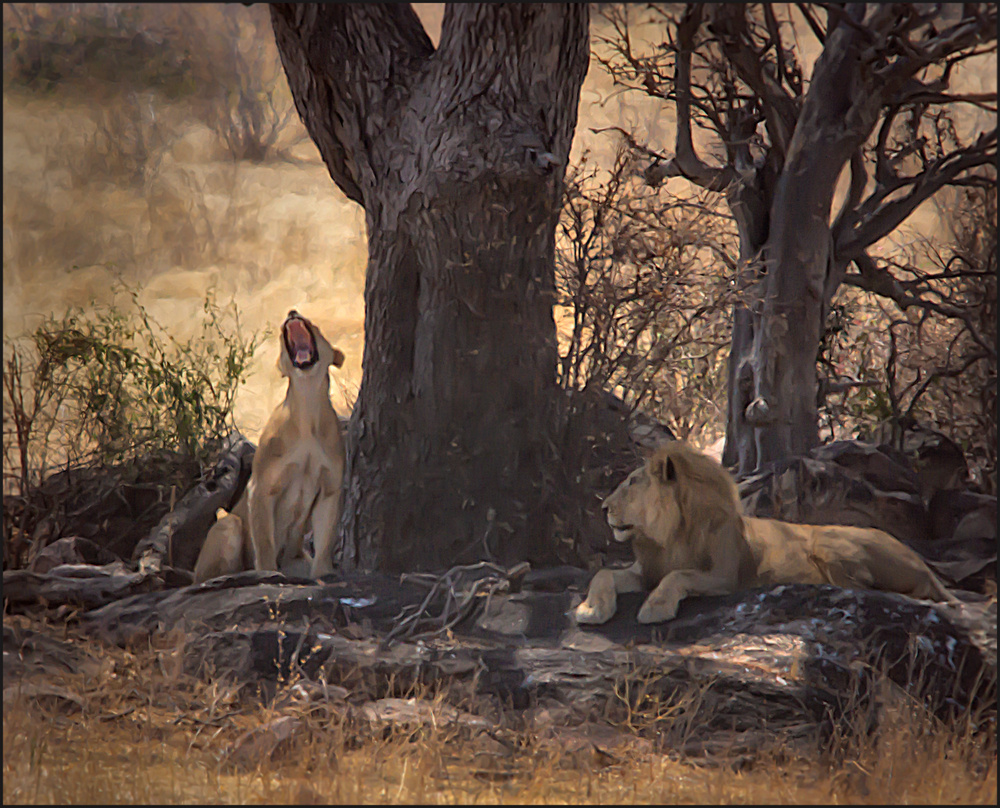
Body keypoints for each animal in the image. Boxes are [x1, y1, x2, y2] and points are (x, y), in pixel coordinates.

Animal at [194, 312, 348, 584]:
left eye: (315, 325)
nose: (292, 313)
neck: (308, 409)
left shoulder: (330, 488)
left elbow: (325, 540)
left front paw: (324, 575)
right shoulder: (261, 486)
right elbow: (264, 540)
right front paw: (268, 573)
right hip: (230, 524)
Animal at [576, 442, 956, 624]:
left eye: (631, 484)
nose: (604, 508)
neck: (667, 535)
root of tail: (924, 564)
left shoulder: (724, 576)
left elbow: (678, 576)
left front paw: (655, 608)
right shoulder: (645, 570)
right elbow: (602, 573)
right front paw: (590, 609)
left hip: (832, 543)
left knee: (866, 588)